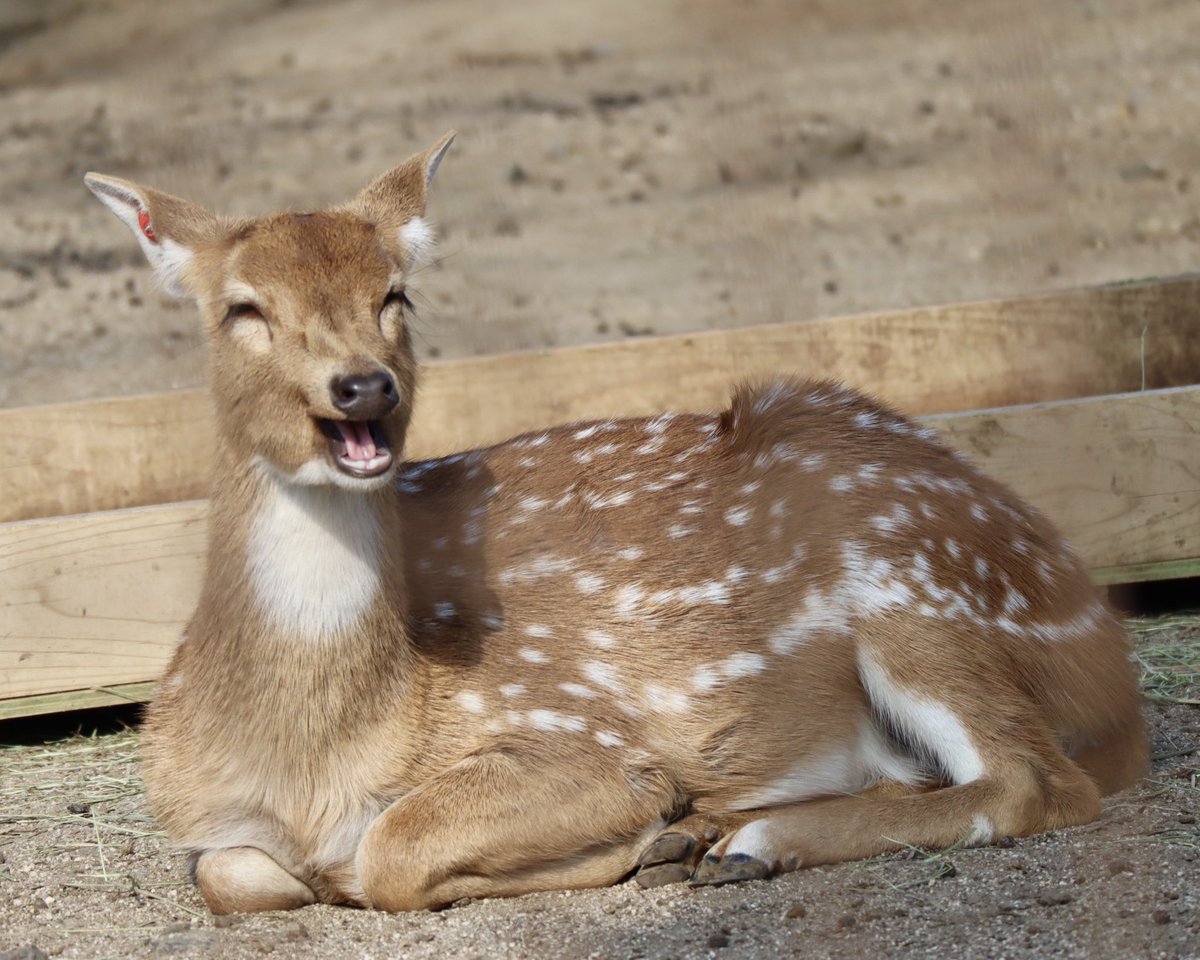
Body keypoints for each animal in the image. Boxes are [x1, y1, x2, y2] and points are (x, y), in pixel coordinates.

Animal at [83, 132, 1147, 914]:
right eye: (243, 309)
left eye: (396, 294)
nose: (364, 385)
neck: (315, 759)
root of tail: (1105, 641)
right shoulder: (206, 824)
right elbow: (230, 874)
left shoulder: (575, 731)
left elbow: (387, 854)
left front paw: (642, 836)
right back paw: (715, 841)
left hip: (915, 586)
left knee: (1039, 782)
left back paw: (738, 840)